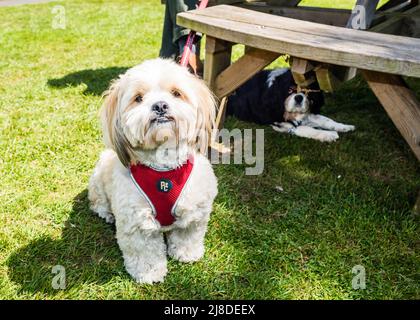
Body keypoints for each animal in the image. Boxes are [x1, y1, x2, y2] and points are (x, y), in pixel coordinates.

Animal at [89, 58, 220, 284]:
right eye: (138, 98)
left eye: (176, 93)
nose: (160, 105)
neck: (163, 171)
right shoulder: (137, 222)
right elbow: (145, 252)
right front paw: (149, 273)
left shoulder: (194, 211)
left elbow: (187, 235)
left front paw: (186, 253)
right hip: (98, 180)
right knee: (99, 203)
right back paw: (107, 214)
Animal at [226, 68, 354, 142]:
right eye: (289, 90)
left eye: (307, 92)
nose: (299, 97)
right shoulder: (281, 123)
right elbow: (306, 128)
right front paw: (328, 134)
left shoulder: (308, 112)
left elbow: (326, 120)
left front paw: (344, 126)